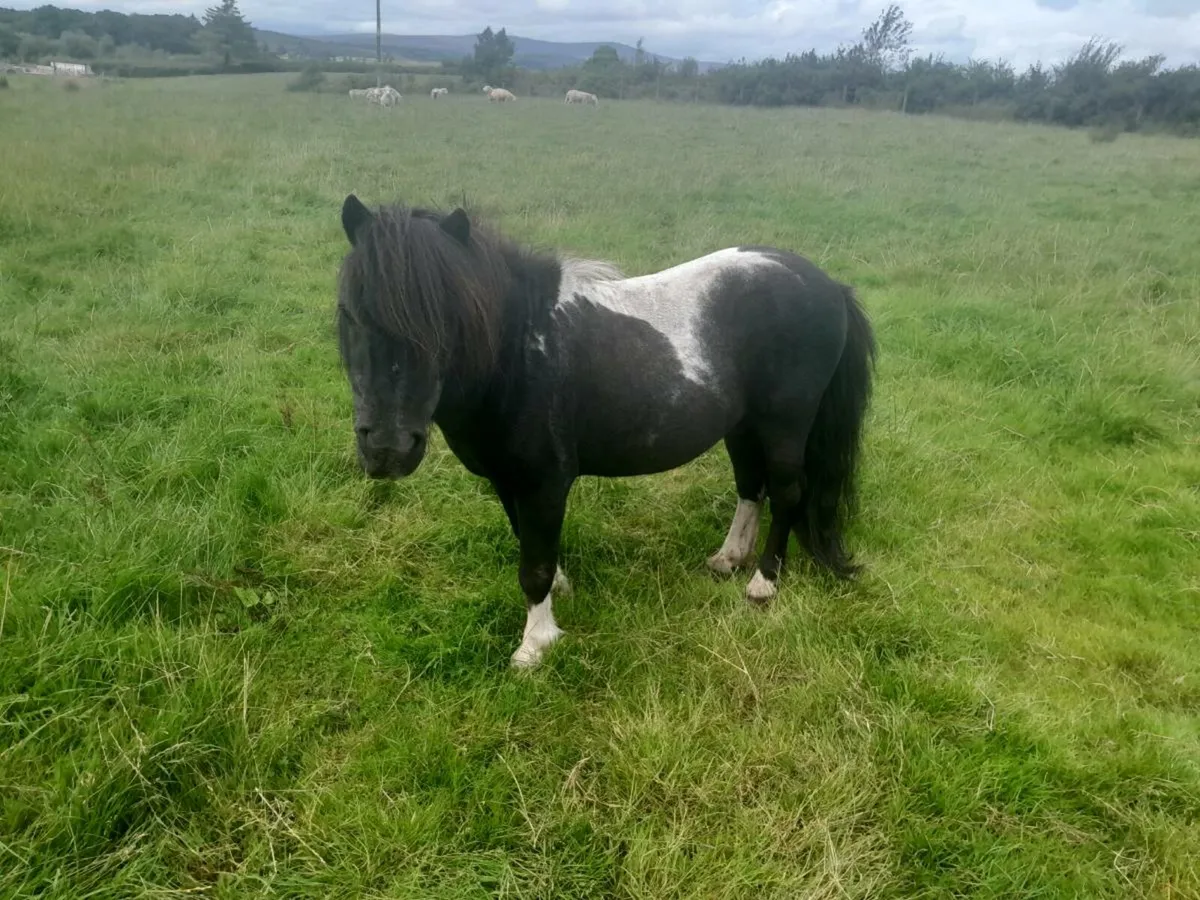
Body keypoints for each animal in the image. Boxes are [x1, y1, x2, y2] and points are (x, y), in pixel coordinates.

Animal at [334, 195, 876, 669]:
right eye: (348, 312)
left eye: (445, 319)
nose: (387, 448)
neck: (519, 351)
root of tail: (827, 285)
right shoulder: (508, 483)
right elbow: (531, 545)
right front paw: (559, 592)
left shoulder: (545, 483)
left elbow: (532, 568)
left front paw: (535, 645)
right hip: (743, 426)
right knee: (750, 486)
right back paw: (728, 558)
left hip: (785, 425)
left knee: (786, 493)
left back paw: (763, 584)